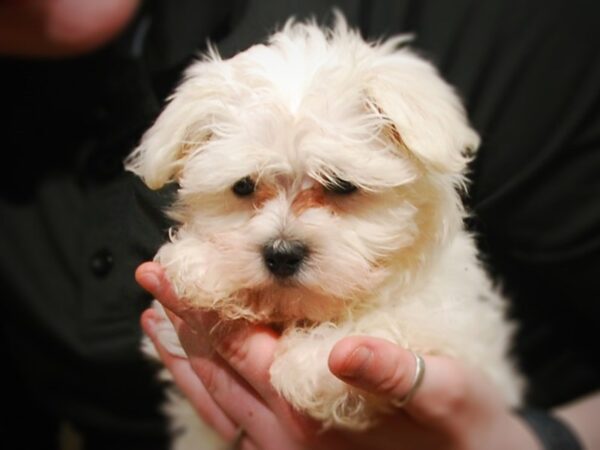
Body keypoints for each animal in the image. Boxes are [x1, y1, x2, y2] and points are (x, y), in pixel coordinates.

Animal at [125, 14, 520, 450]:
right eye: (243, 187)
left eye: (341, 185)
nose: (281, 254)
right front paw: (203, 265)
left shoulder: (460, 327)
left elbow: (405, 316)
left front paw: (310, 361)